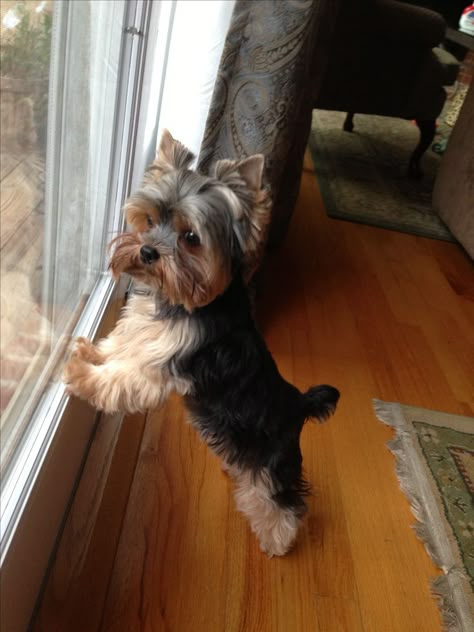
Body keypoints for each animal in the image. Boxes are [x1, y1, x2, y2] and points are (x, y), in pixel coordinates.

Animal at [65, 131, 338, 556]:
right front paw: (89, 351)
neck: (178, 301)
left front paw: (80, 374)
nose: (147, 251)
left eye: (191, 238)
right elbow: (120, 346)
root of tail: (298, 403)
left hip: (272, 456)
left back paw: (278, 541)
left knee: (282, 498)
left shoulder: (161, 367)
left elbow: (122, 377)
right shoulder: (142, 328)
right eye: (149, 220)